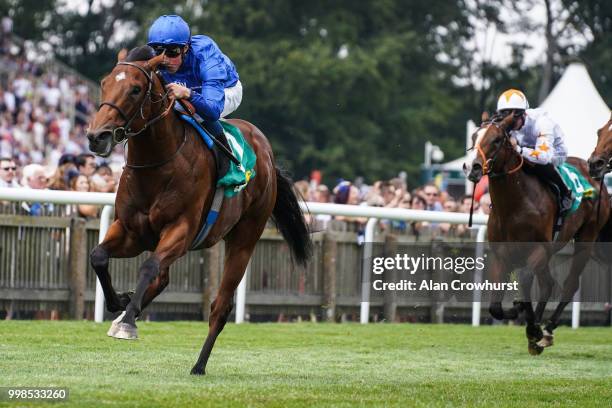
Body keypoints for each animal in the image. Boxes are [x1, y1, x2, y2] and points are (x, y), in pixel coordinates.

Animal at [85, 46, 310, 374]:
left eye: (136, 89)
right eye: (104, 83)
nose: (96, 136)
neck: (158, 165)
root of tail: (266, 151)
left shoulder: (181, 229)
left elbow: (149, 266)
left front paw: (127, 322)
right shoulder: (131, 231)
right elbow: (99, 256)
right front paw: (121, 304)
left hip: (245, 238)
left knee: (220, 307)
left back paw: (199, 365)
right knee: (162, 278)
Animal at [468, 113, 608, 356]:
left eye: (496, 140)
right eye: (474, 137)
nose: (474, 167)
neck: (514, 205)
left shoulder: (539, 249)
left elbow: (525, 279)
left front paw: (531, 325)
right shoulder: (501, 254)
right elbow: (495, 307)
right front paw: (521, 316)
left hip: (586, 238)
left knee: (568, 284)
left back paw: (547, 329)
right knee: (548, 283)